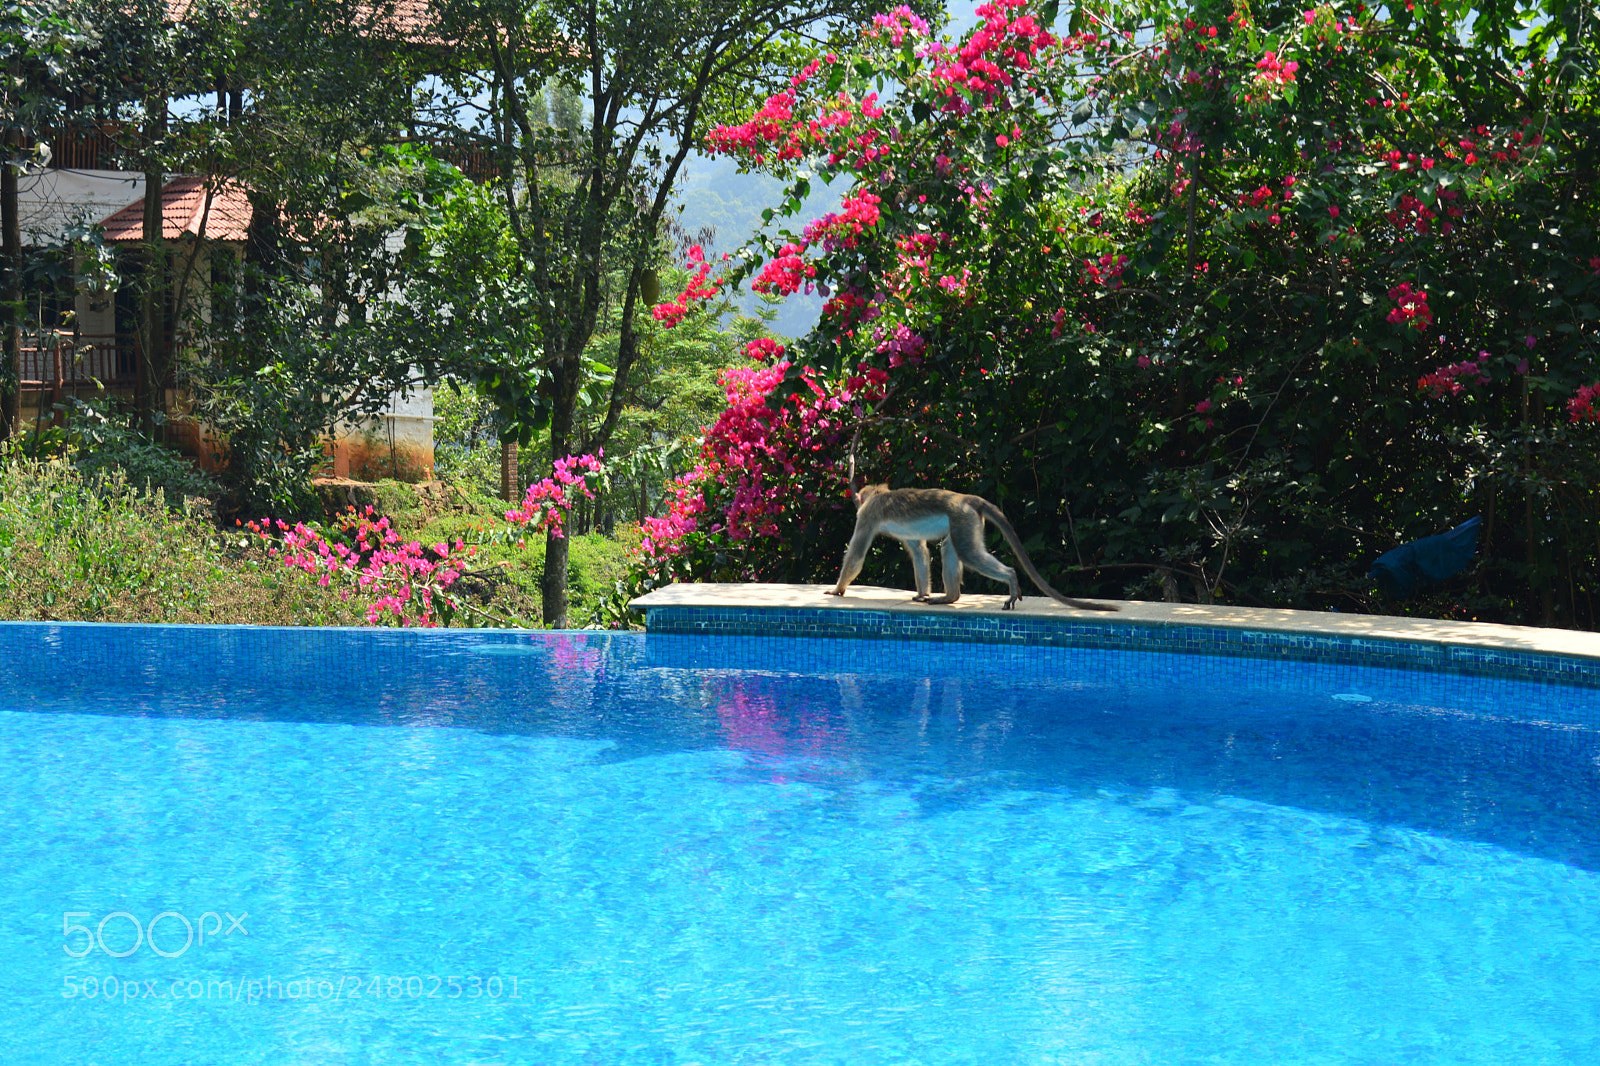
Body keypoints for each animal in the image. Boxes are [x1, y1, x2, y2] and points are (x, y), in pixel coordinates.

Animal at [825, 485, 1118, 612]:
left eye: (860, 499)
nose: (855, 499)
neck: (880, 494)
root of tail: (968, 499)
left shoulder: (867, 514)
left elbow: (857, 554)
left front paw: (837, 590)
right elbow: (920, 552)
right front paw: (921, 594)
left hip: (962, 517)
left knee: (967, 552)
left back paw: (1010, 578)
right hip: (965, 521)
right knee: (950, 548)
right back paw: (950, 597)